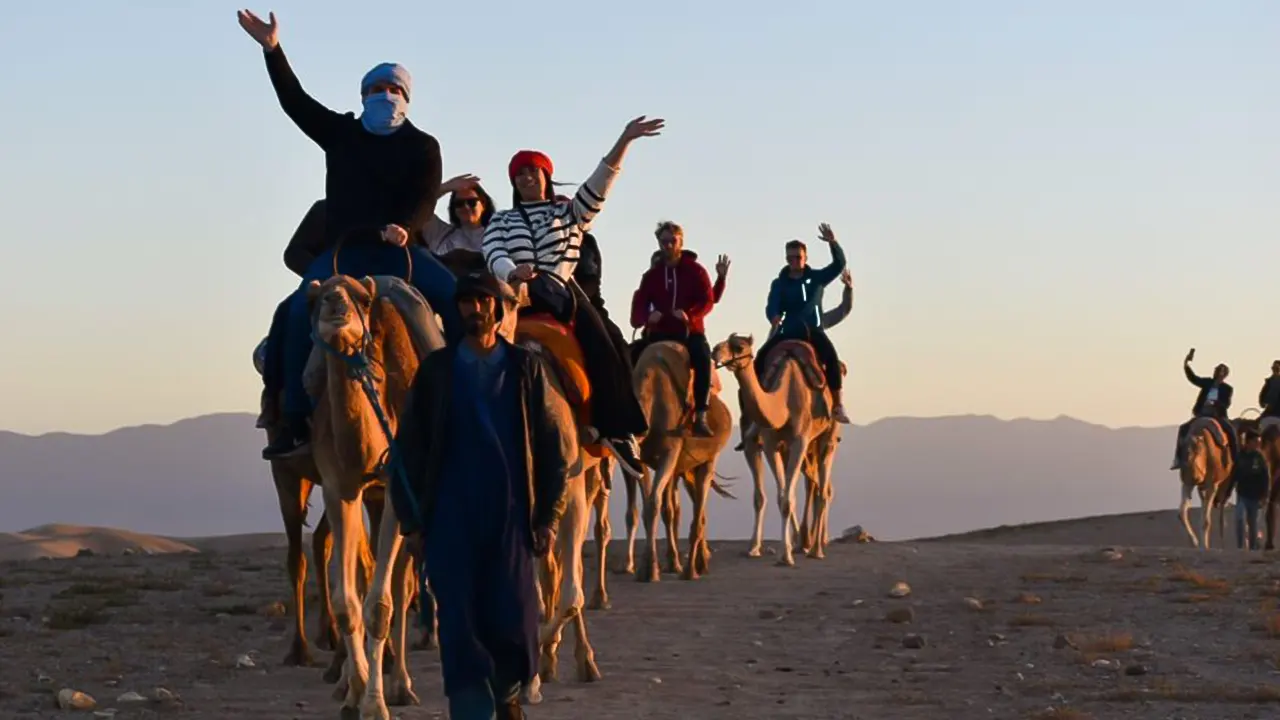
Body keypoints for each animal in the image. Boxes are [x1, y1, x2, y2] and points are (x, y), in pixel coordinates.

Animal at [304, 271, 445, 712]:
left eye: (362, 300)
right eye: (315, 298)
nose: (335, 303)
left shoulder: (399, 489)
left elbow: (380, 604)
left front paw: (375, 704)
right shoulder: (339, 490)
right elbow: (346, 602)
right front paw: (354, 691)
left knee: (401, 585)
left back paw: (401, 685)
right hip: (374, 498)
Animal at [627, 338, 732, 579]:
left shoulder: (670, 453)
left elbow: (655, 503)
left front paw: (651, 570)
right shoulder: (643, 458)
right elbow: (651, 506)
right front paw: (648, 567)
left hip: (708, 459)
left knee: (698, 512)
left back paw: (692, 569)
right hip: (686, 469)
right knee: (685, 509)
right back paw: (691, 563)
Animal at [711, 333, 839, 566]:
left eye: (739, 346)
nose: (715, 351)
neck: (783, 402)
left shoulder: (799, 442)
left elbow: (788, 499)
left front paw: (786, 556)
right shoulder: (770, 445)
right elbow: (777, 498)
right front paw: (757, 548)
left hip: (828, 437)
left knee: (824, 490)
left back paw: (816, 548)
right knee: (814, 487)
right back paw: (806, 542)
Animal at [1172, 412, 1233, 545]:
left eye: (1198, 450)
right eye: (1180, 450)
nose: (1195, 477)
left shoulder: (1212, 484)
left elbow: (1206, 521)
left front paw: (1204, 546)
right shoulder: (1187, 483)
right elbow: (1182, 513)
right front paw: (1195, 542)